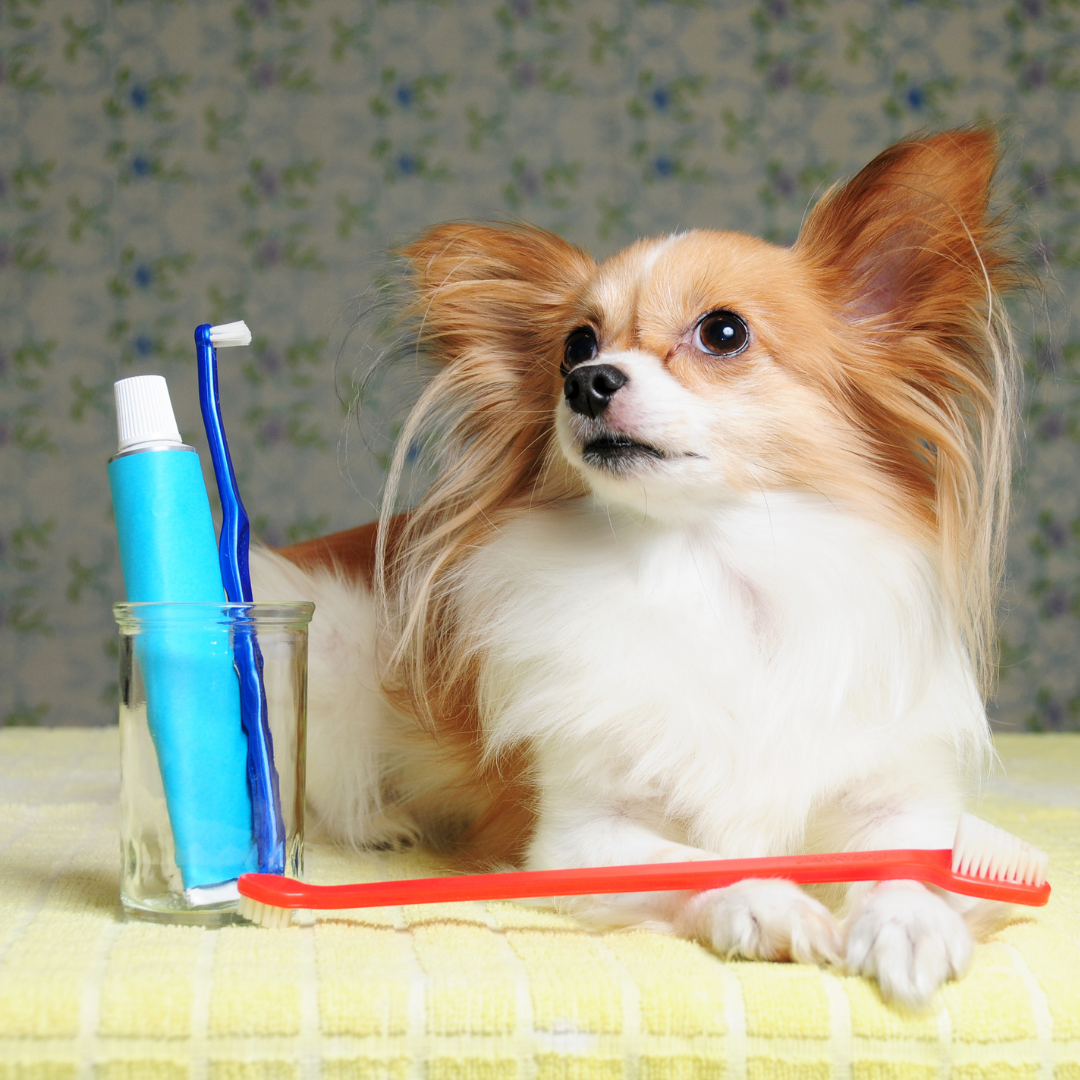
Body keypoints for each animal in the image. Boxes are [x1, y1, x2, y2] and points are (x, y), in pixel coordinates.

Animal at [250, 130, 1019, 1006]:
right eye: (574, 346)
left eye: (723, 333)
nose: (587, 381)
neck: (709, 569)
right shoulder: (578, 834)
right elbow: (695, 861)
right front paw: (766, 902)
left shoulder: (896, 799)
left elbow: (912, 863)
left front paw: (910, 921)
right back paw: (379, 822)